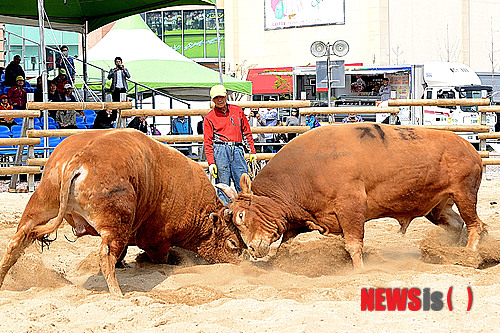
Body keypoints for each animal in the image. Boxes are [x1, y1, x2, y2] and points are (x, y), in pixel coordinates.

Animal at [0, 128, 242, 294]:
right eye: (233, 243)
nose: (243, 265)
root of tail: (78, 158)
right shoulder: (157, 240)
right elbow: (159, 256)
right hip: (116, 222)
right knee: (106, 254)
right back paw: (117, 292)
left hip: (40, 205)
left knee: (16, 243)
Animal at [219, 122, 484, 268]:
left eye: (241, 216)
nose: (252, 249)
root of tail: (471, 149)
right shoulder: (300, 219)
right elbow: (285, 245)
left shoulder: (351, 206)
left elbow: (354, 244)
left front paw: (359, 269)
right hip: (439, 206)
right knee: (456, 223)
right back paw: (450, 250)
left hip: (464, 194)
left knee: (475, 225)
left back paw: (470, 253)